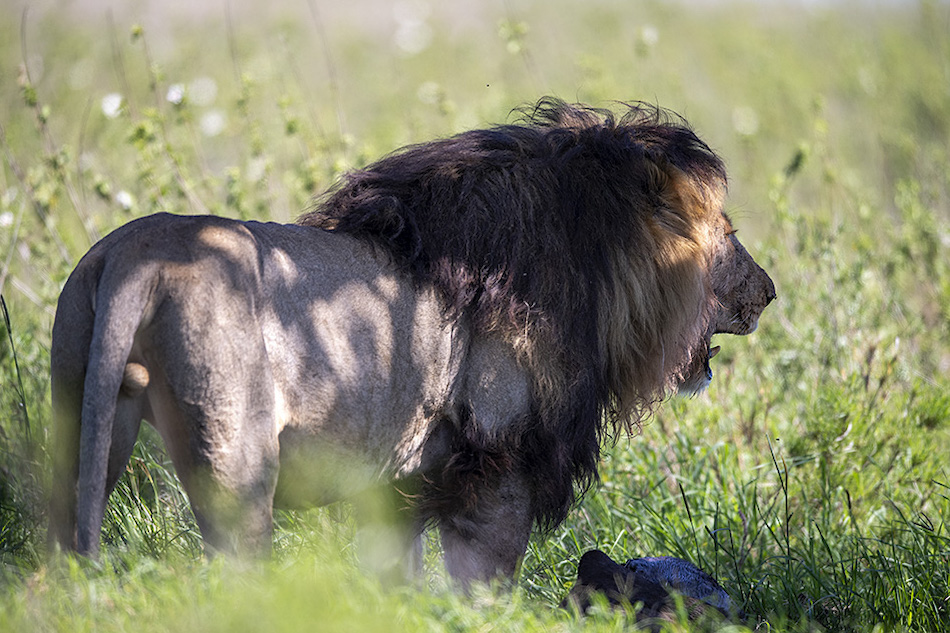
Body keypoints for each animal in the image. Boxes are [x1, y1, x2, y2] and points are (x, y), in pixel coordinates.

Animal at [46, 99, 772, 588]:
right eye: (729, 231)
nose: (768, 293)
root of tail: (135, 254)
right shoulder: (498, 462)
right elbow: (483, 581)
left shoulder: (406, 475)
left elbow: (396, 575)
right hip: (236, 457)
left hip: (85, 413)